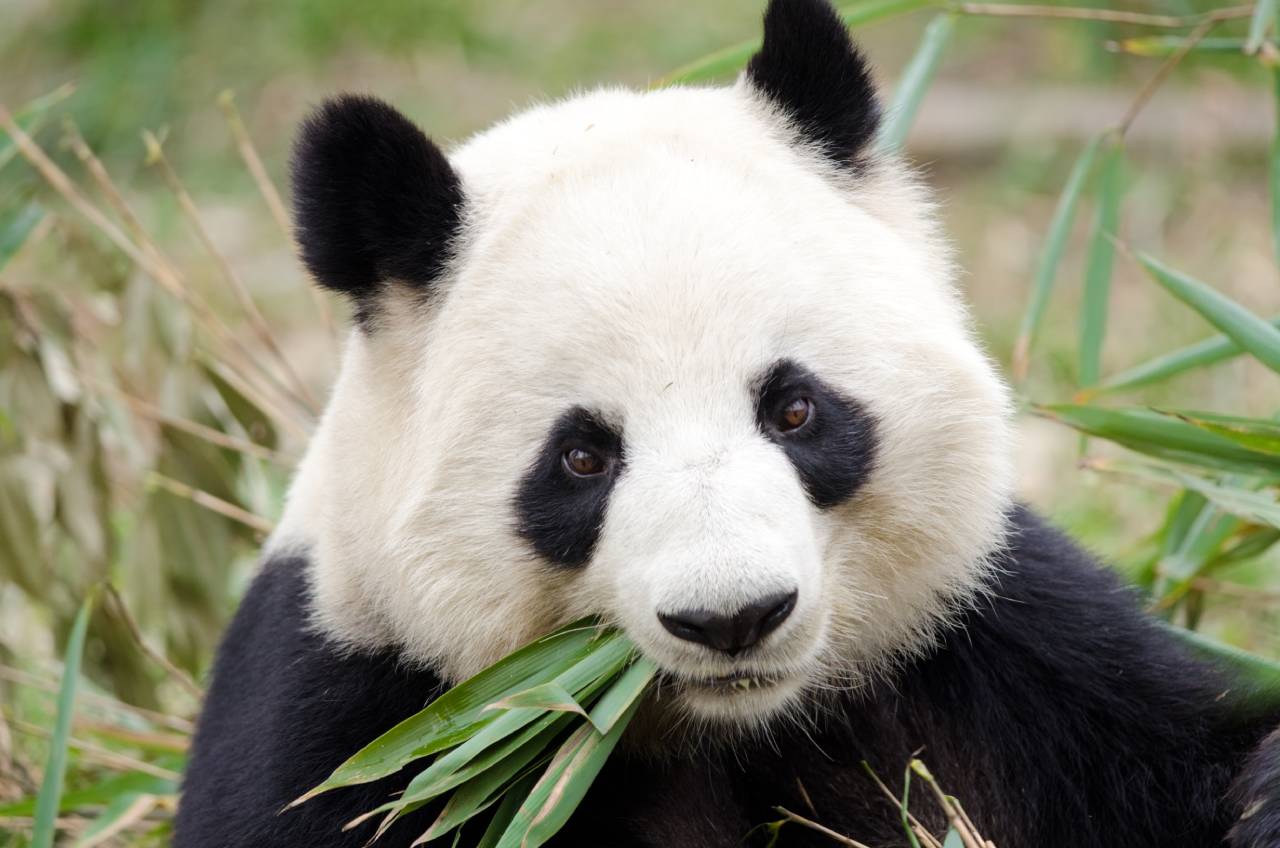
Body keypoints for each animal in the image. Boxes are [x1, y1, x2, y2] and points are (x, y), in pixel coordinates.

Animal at [175, 1, 1280, 848]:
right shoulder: (367, 718)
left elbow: (1200, 754)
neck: (733, 724)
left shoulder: (1003, 652)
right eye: (582, 457)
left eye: (794, 408)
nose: (733, 616)